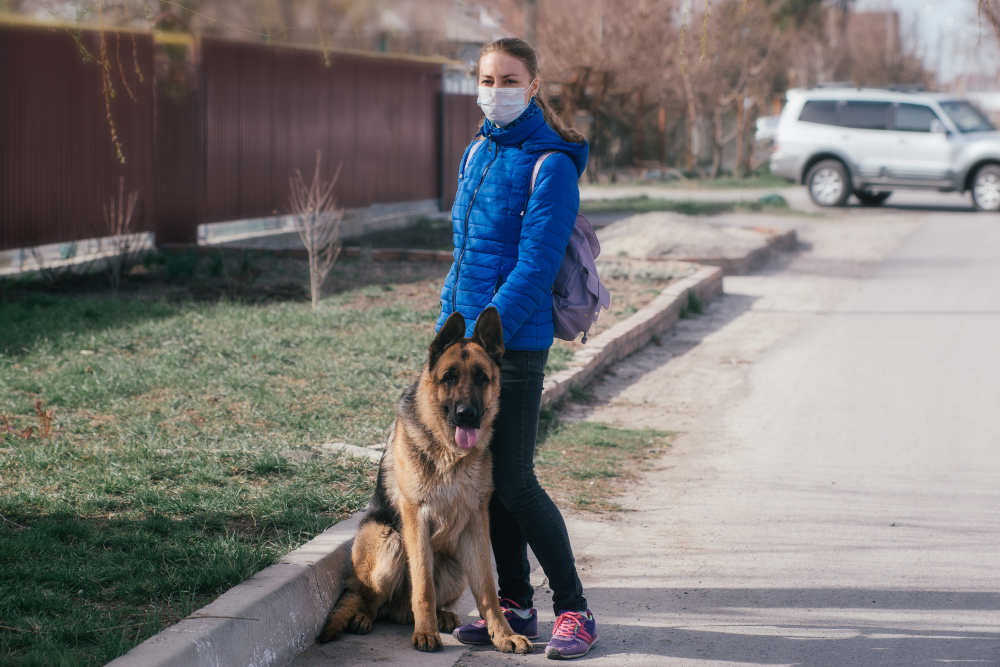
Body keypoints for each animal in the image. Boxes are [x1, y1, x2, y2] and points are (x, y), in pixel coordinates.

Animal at [320, 310, 536, 656]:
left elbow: (488, 591)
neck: (450, 452)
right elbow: (422, 585)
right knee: (370, 600)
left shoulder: (476, 522)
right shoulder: (416, 517)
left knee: (410, 607)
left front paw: (504, 634)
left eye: (481, 378)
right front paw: (425, 633)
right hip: (388, 542)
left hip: (455, 568)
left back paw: (443, 616)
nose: (467, 414)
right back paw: (366, 618)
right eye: (449, 377)